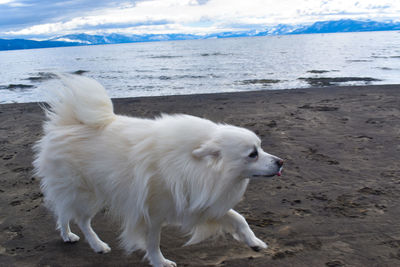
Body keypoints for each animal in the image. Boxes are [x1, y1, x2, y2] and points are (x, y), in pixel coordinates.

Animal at [32, 75, 282, 267]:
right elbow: (153, 242)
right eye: (253, 154)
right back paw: (95, 243)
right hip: (85, 193)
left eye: (260, 147)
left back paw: (68, 235)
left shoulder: (202, 202)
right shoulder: (152, 214)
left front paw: (254, 242)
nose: (281, 162)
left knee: (64, 212)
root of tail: (64, 124)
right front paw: (159, 262)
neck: (195, 166)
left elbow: (239, 218)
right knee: (78, 218)